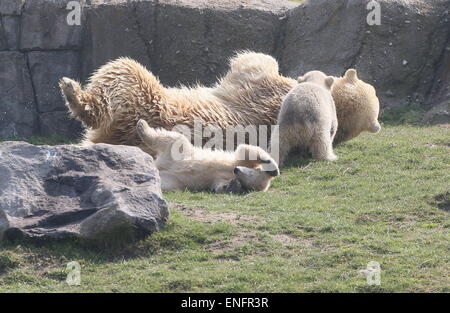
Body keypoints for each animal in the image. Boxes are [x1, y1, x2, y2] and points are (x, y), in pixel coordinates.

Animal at [135, 119, 280, 193]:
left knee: (164, 183)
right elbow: (245, 150)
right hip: (179, 153)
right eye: (249, 172)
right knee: (173, 139)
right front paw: (271, 165)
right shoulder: (235, 161)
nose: (236, 170)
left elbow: (218, 186)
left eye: (245, 178)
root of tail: (159, 165)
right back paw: (142, 126)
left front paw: (232, 186)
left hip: (172, 179)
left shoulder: (220, 177)